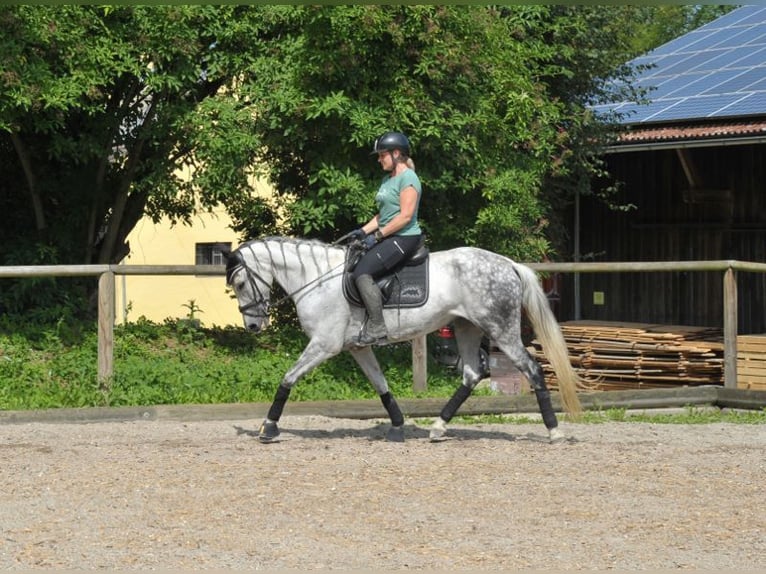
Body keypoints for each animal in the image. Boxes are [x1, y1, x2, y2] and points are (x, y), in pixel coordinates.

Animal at [225, 236, 584, 444]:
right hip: (467, 327)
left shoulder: (324, 344)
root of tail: (509, 264)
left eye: (240, 283)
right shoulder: (357, 347)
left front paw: (268, 427)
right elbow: (381, 385)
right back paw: (438, 428)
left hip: (501, 330)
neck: (316, 279)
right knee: (471, 374)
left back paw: (554, 431)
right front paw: (397, 426)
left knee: (533, 369)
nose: (254, 326)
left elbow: (288, 378)